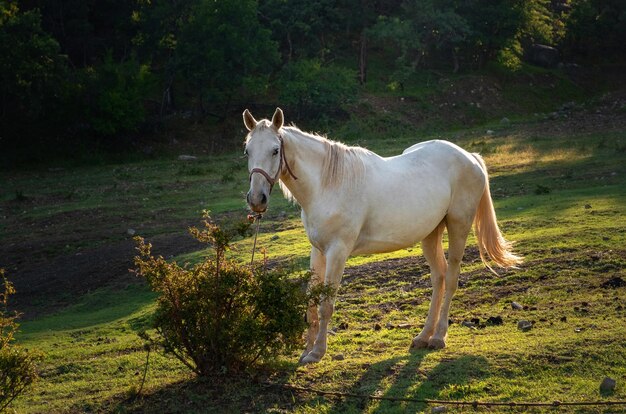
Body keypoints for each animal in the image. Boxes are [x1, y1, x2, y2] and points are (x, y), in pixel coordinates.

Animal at [241, 108, 520, 364]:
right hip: (430, 234)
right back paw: (423, 336)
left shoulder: (337, 252)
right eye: (247, 151)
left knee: (450, 279)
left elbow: (325, 305)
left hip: (458, 226)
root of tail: (469, 157)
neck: (328, 185)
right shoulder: (318, 251)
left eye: (275, 150)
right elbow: (311, 302)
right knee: (438, 278)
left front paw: (317, 353)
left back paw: (439, 338)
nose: (256, 200)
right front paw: (305, 351)